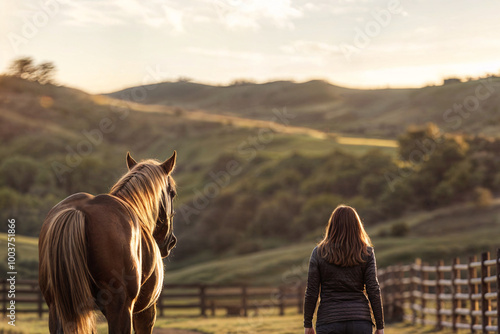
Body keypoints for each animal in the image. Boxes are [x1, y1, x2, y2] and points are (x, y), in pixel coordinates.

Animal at [40, 152, 179, 334]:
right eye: (172, 193)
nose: (170, 242)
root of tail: (78, 210)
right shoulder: (146, 311)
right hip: (120, 309)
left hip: (57, 307)